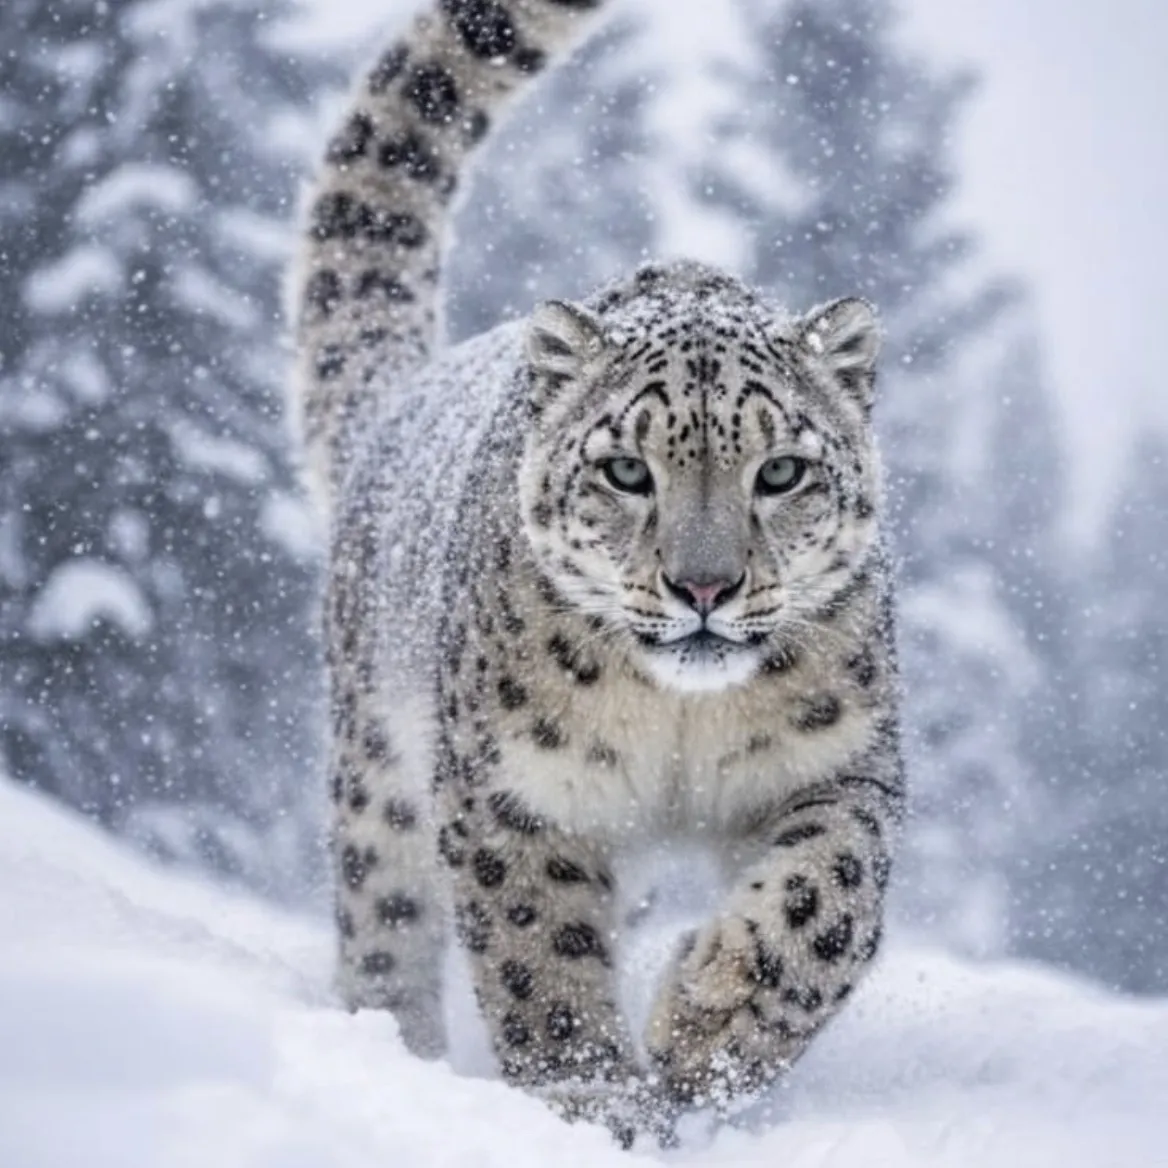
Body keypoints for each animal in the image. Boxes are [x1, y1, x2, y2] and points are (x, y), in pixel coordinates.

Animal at [293, 0, 904, 1145]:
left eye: (781, 470)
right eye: (627, 468)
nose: (702, 587)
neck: (678, 724)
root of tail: (401, 402)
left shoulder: (839, 764)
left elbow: (827, 899)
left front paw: (709, 1024)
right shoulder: (514, 788)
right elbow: (539, 944)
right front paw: (595, 1102)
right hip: (378, 776)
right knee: (383, 917)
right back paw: (394, 1043)